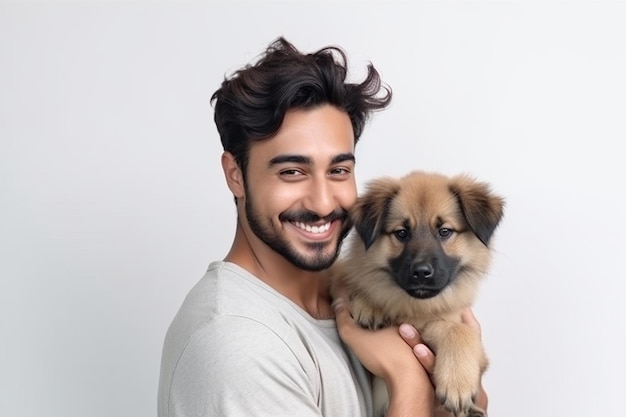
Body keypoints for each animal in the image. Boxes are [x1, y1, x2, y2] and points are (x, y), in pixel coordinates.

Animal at [332, 169, 502, 416]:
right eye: (402, 233)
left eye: (444, 231)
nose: (421, 272)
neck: (414, 309)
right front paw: (369, 304)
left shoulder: (449, 325)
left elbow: (457, 330)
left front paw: (457, 383)